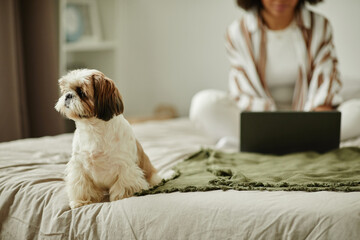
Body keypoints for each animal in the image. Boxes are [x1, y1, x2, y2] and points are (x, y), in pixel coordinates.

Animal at [55, 68, 162, 208]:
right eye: (65, 90)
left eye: (82, 93)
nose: (68, 95)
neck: (93, 129)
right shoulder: (79, 167)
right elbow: (81, 185)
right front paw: (81, 201)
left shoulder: (125, 168)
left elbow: (123, 185)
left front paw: (122, 198)